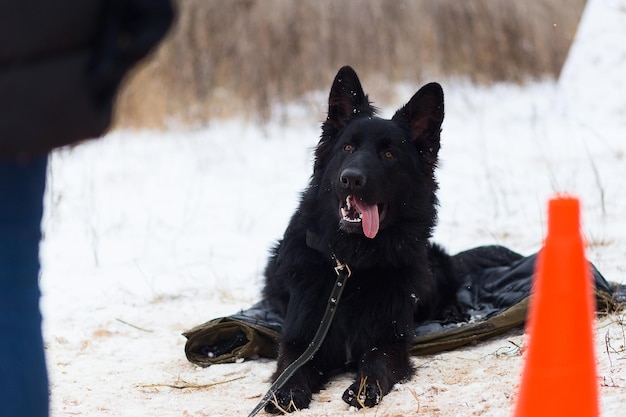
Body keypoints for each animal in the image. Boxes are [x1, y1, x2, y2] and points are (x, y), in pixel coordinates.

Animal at [260, 66, 456, 412]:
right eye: (347, 148)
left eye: (389, 154)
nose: (351, 179)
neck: (354, 261)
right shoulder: (302, 337)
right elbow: (291, 366)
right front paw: (286, 393)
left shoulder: (391, 339)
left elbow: (377, 359)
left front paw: (365, 387)